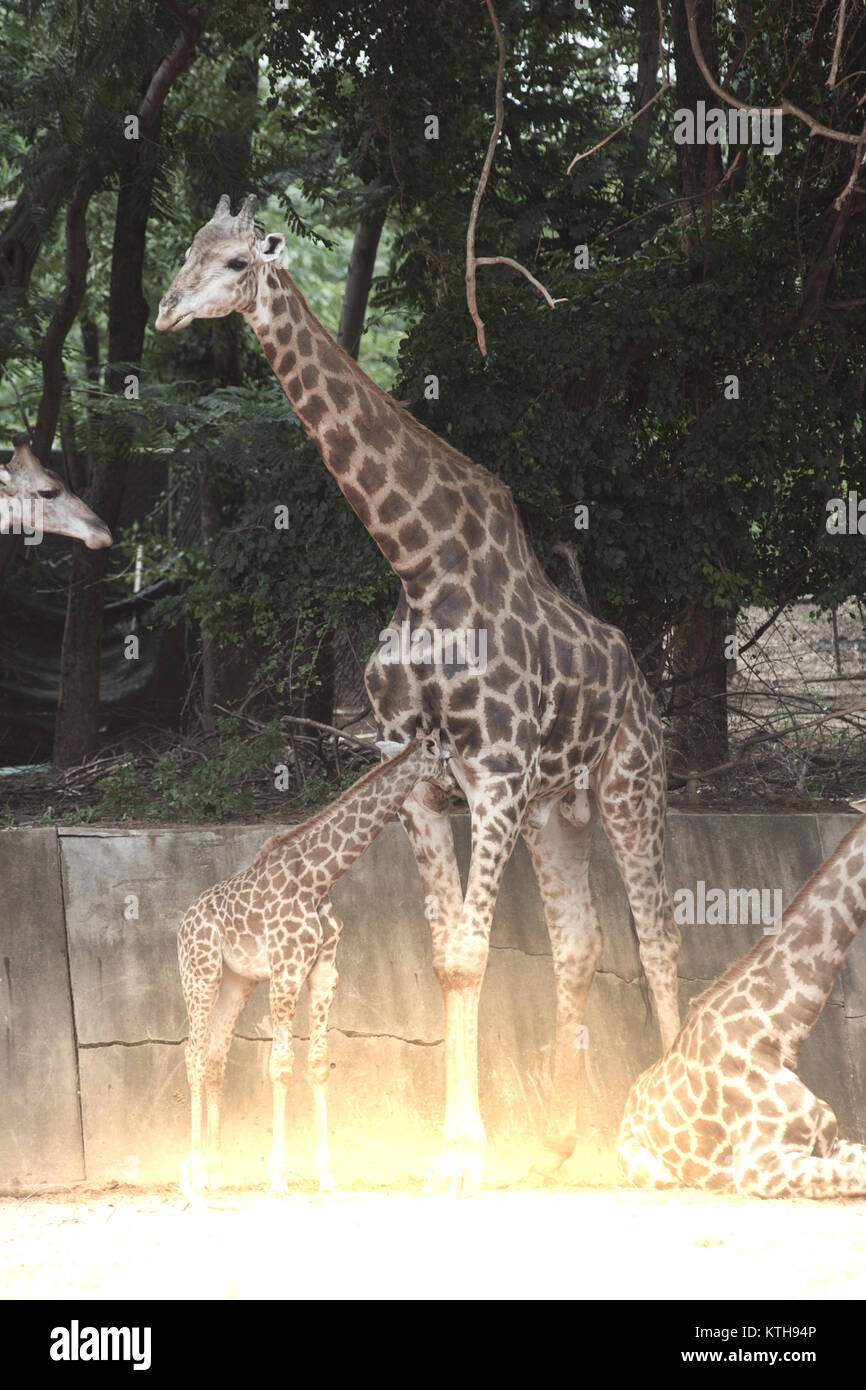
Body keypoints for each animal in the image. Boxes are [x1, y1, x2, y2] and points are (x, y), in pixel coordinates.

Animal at [176, 733, 447, 1200]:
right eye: (447, 759)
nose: (453, 793)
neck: (320, 878)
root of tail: (180, 926)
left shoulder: (323, 969)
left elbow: (319, 1062)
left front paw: (325, 1173)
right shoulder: (286, 967)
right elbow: (280, 1066)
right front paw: (278, 1175)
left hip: (236, 980)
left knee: (214, 1055)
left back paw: (214, 1171)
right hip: (201, 972)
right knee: (193, 1053)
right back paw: (193, 1174)